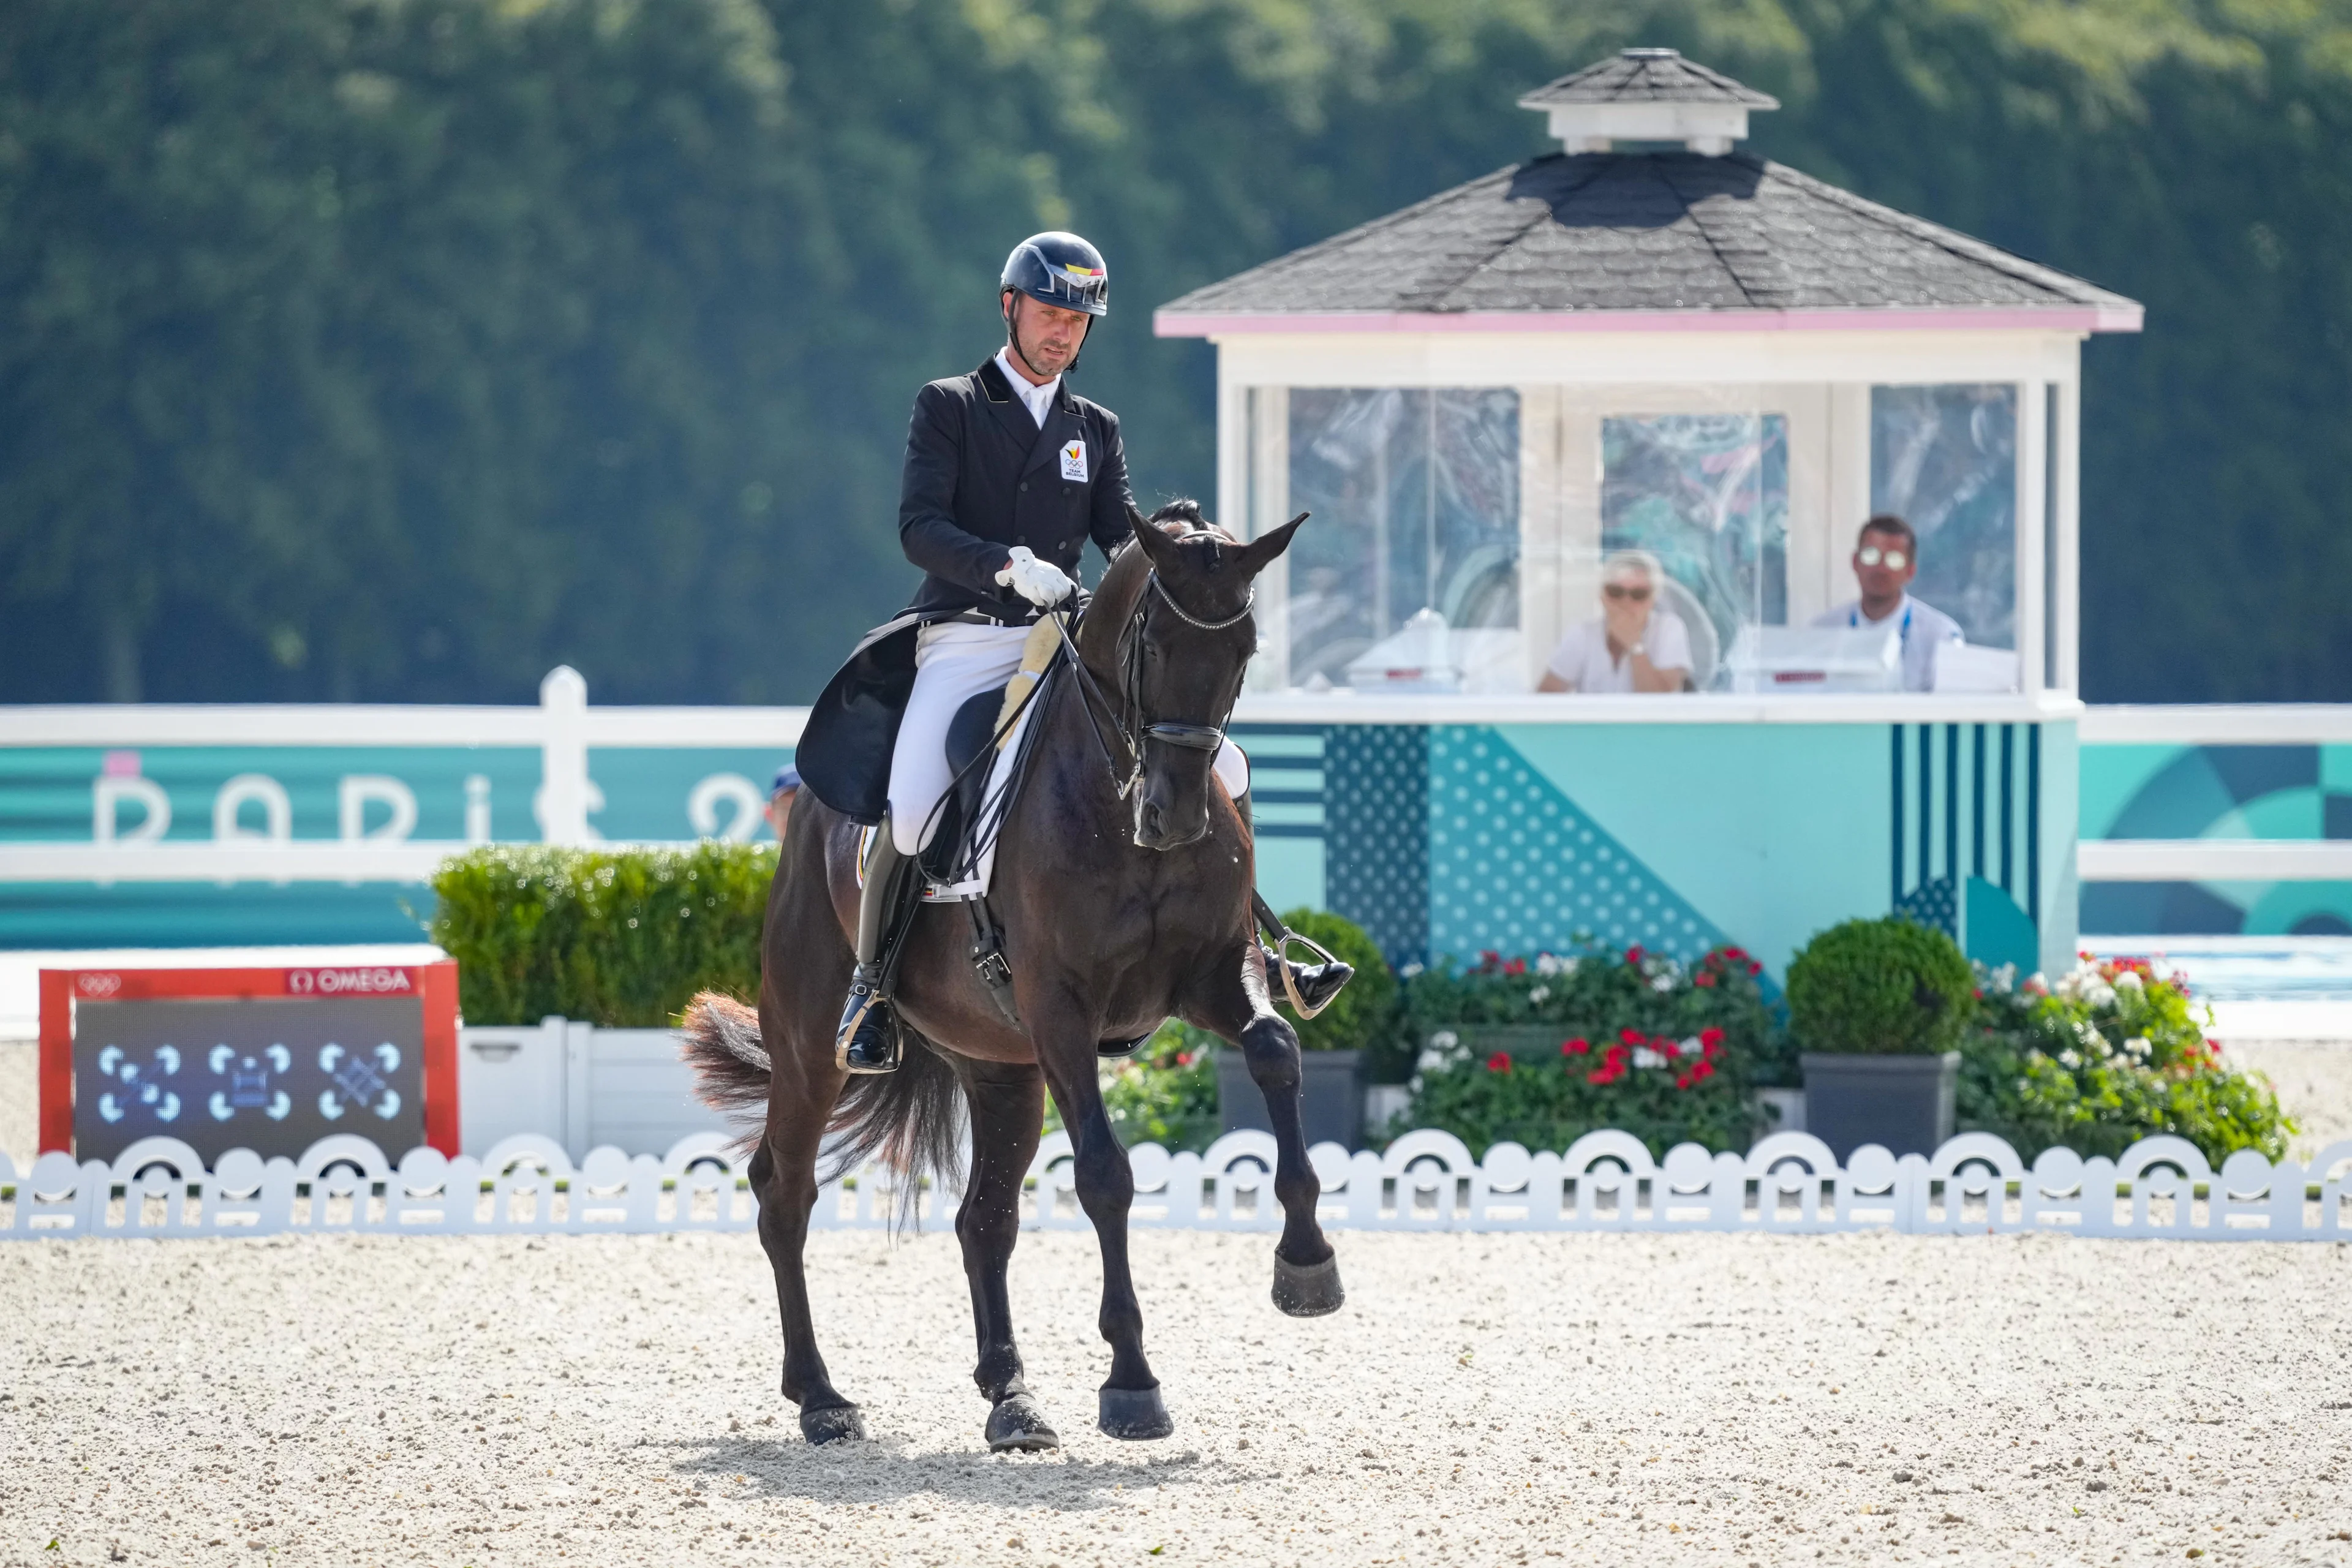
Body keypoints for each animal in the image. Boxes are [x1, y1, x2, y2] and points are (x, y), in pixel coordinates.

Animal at [682, 510, 1345, 1457]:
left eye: (1245, 647)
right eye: (1149, 641)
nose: (1174, 819)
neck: (1114, 796)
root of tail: (808, 809)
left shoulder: (1216, 972)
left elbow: (1276, 1049)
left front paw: (1307, 1263)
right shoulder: (1062, 1009)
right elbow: (1105, 1174)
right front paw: (1131, 1384)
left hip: (1002, 1068)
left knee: (983, 1219)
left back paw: (1013, 1399)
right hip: (812, 1045)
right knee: (785, 1192)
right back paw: (821, 1397)